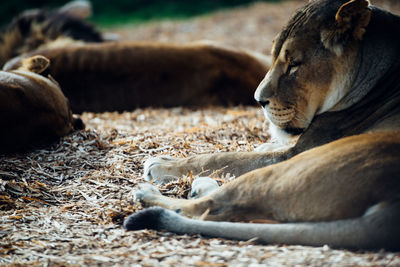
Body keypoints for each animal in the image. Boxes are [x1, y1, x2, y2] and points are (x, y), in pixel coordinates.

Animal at [124, 0, 400, 251]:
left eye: (294, 64)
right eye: (274, 57)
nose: (258, 100)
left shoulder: (295, 153)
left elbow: (222, 158)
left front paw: (161, 164)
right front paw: (263, 146)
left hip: (298, 168)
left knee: (210, 208)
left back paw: (149, 193)